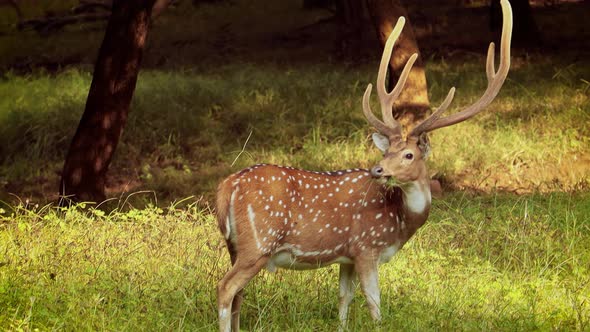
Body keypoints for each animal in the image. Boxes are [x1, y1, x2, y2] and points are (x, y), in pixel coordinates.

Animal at [216, 0, 512, 330]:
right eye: (387, 152)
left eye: (407, 154)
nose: (377, 170)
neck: (399, 221)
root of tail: (226, 187)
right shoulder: (367, 247)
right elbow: (374, 303)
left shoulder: (346, 256)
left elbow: (343, 298)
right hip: (258, 242)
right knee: (225, 288)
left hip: (234, 246)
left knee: (238, 294)